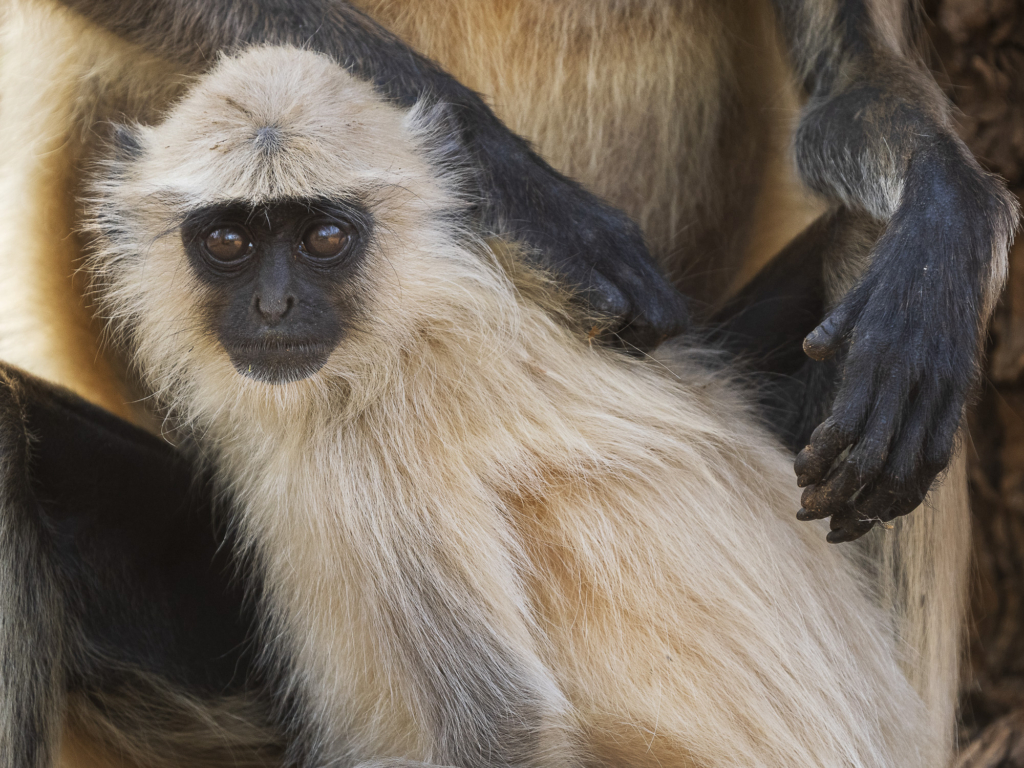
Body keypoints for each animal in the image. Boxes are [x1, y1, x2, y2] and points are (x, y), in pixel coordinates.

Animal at [58, 45, 958, 768]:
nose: (273, 308)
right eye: (229, 242)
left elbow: (502, 731)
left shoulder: (372, 451)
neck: (404, 330)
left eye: (323, 239)